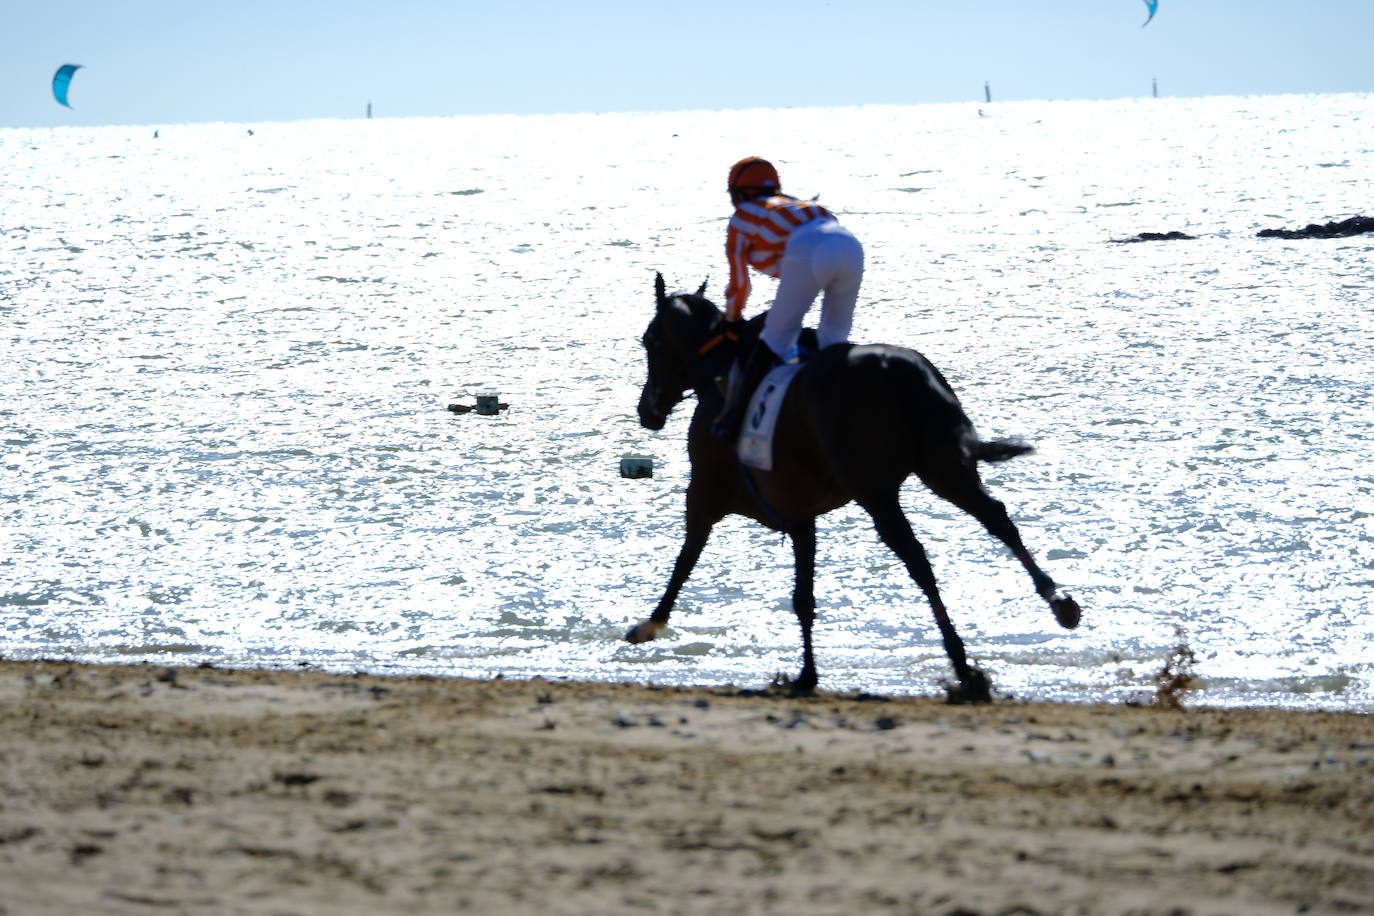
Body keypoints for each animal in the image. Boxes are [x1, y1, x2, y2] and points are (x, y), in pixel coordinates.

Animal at [626, 271, 1082, 703]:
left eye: (649, 341)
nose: (648, 409)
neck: (722, 375)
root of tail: (902, 372)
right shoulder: (800, 516)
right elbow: (803, 597)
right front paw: (807, 674)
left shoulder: (704, 495)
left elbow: (684, 561)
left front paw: (651, 623)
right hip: (943, 468)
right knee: (996, 519)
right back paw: (1058, 602)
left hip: (876, 492)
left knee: (918, 559)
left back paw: (962, 665)